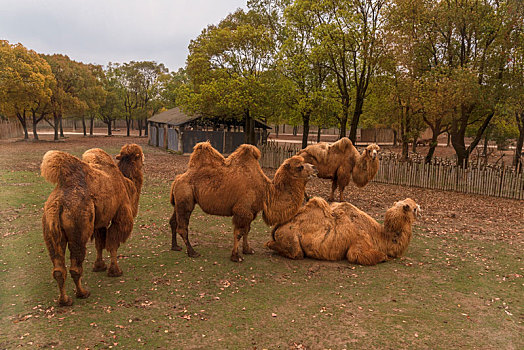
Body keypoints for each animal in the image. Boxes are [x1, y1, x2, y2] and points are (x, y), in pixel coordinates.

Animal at [41, 144, 143, 304]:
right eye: (139, 156)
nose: (144, 162)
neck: (126, 182)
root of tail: (59, 203)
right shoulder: (120, 216)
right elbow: (113, 244)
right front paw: (115, 271)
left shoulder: (99, 223)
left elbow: (100, 243)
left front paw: (99, 266)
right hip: (78, 230)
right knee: (75, 267)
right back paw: (82, 293)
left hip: (50, 229)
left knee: (58, 269)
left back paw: (64, 300)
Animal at [170, 141, 316, 262]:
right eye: (300, 167)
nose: (314, 168)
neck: (266, 191)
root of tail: (177, 179)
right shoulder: (242, 210)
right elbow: (239, 232)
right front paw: (236, 257)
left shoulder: (252, 211)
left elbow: (247, 230)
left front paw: (248, 250)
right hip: (186, 199)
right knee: (182, 227)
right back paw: (192, 252)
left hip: (179, 201)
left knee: (173, 222)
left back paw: (175, 247)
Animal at [268, 197, 420, 266]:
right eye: (414, 208)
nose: (420, 207)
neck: (380, 236)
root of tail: (278, 228)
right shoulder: (360, 241)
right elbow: (357, 255)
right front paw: (384, 257)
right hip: (291, 239)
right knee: (293, 252)